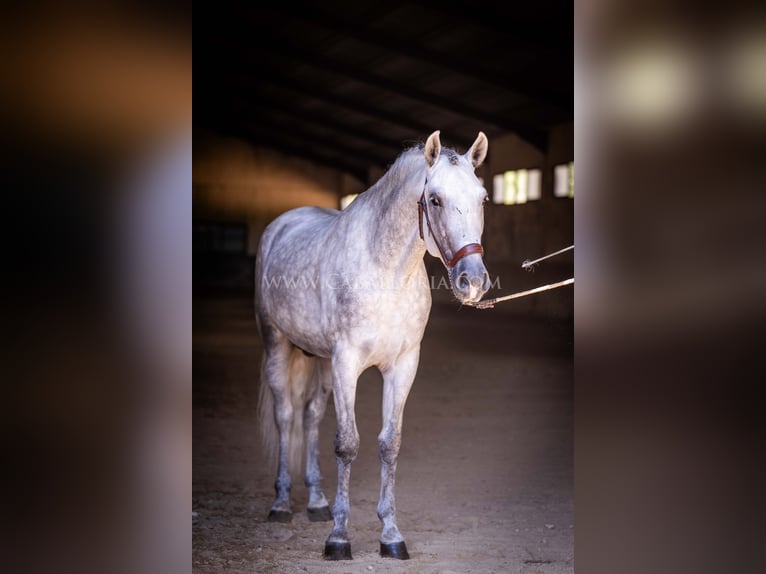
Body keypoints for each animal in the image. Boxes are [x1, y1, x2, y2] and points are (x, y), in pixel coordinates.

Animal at [255, 130, 488, 564]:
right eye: (435, 199)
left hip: (321, 363)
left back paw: (316, 502)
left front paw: (391, 536)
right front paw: (339, 539)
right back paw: (281, 504)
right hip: (277, 346)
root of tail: (282, 223)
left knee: (310, 418)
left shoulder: (402, 366)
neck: (386, 272)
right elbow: (348, 445)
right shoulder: (347, 363)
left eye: (482, 198)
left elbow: (388, 444)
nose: (474, 282)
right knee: (286, 416)